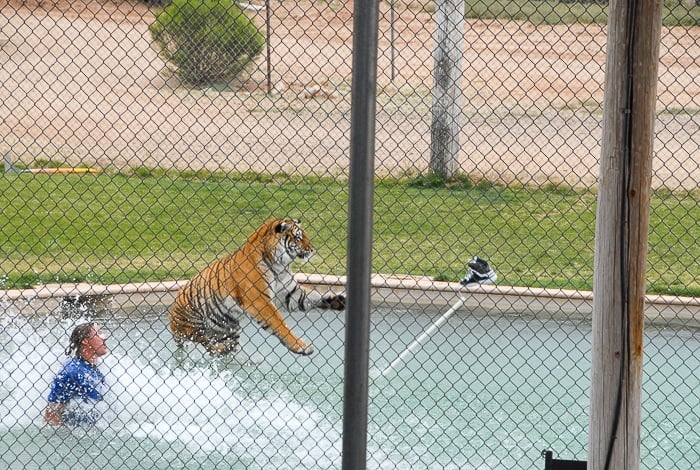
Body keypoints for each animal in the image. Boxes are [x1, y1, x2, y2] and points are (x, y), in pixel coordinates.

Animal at [167, 218, 348, 356]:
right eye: (298, 237)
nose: (312, 250)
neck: (279, 265)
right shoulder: (260, 300)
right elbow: (280, 323)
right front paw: (301, 347)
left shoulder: (291, 293)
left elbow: (315, 296)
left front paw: (340, 300)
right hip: (194, 326)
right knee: (207, 344)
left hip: (229, 330)